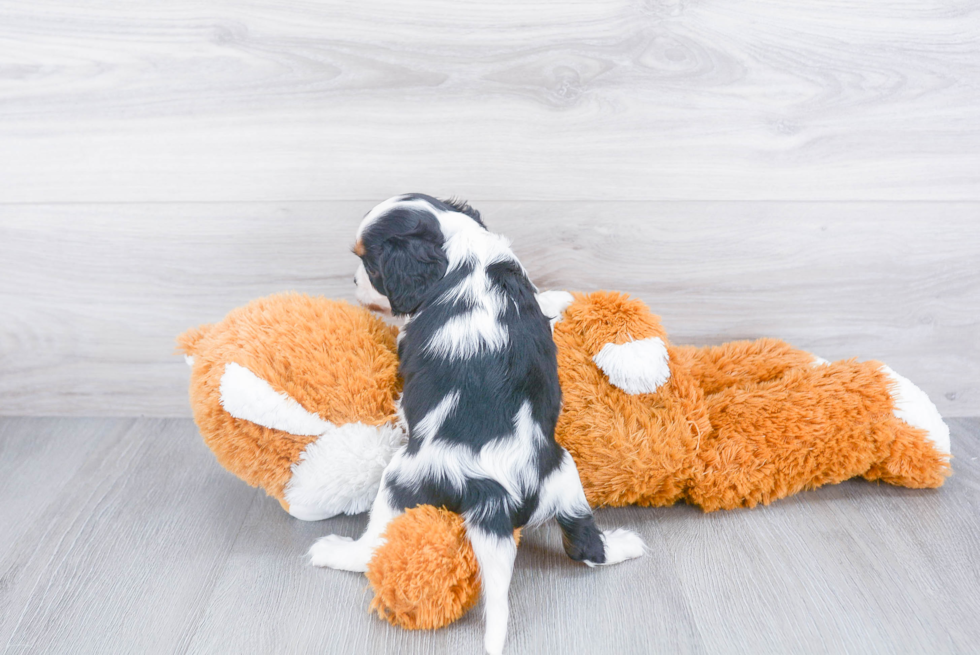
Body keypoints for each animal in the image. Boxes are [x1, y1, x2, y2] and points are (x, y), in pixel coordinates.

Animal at [306, 195, 644, 655]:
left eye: (370, 266)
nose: (353, 280)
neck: (459, 252)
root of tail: (493, 490)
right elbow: (539, 298)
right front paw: (557, 299)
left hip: (402, 479)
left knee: (371, 548)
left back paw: (333, 552)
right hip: (564, 475)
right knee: (584, 544)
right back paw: (624, 545)